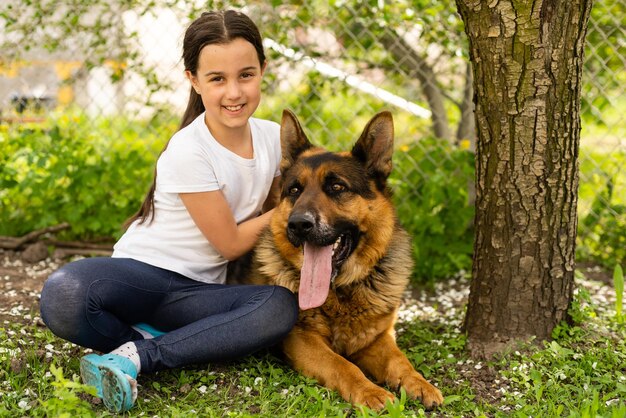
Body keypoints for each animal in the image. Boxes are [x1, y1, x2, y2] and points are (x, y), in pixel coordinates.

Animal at [230, 109, 444, 410]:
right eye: (294, 190)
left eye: (337, 187)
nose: (298, 224)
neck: (342, 290)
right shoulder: (302, 339)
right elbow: (343, 365)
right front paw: (370, 391)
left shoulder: (376, 338)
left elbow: (399, 360)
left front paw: (419, 382)